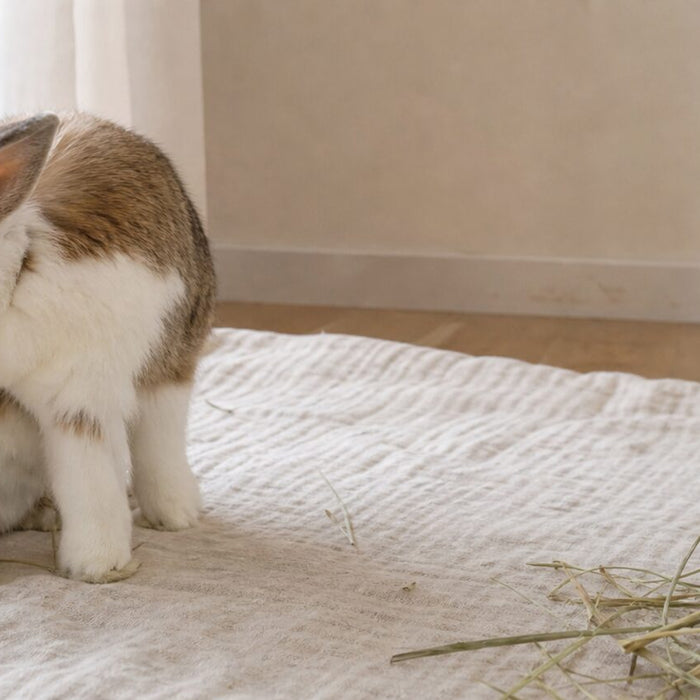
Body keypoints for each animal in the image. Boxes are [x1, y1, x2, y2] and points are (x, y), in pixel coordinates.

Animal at [0, 113, 215, 582]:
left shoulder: (80, 396)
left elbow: (90, 478)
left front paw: (97, 565)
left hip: (171, 361)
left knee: (159, 439)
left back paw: (174, 513)